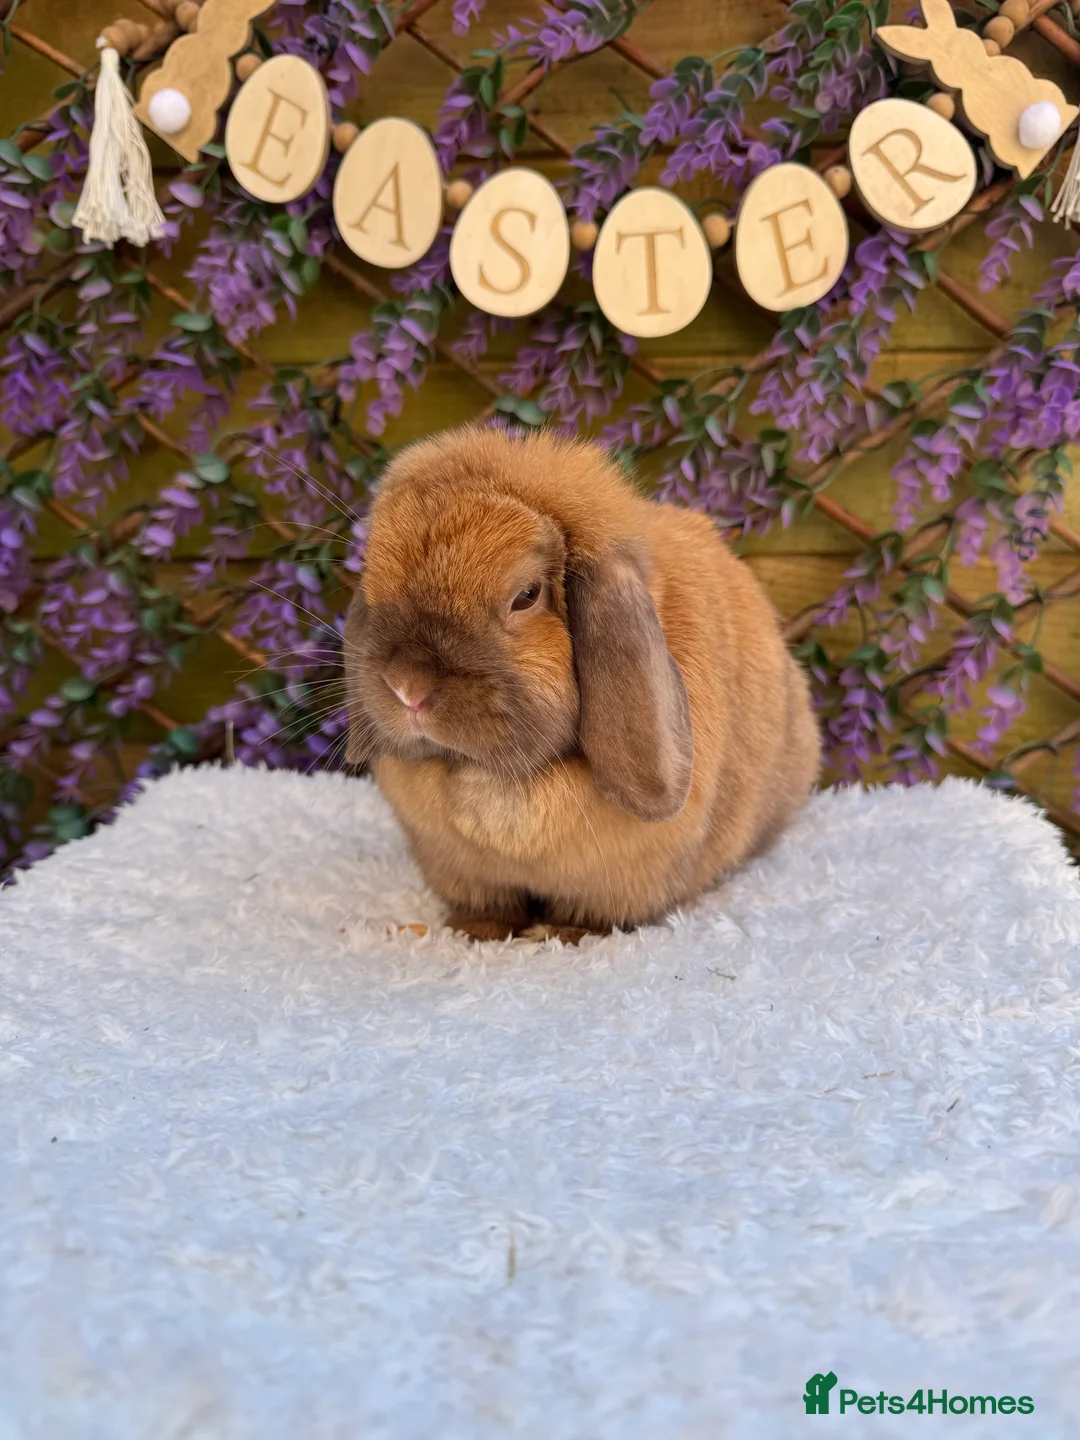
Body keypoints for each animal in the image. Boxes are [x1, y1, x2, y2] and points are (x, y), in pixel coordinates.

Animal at [343, 426, 820, 943]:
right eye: (372, 583)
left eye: (526, 596)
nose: (407, 687)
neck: (492, 776)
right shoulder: (463, 871)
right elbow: (487, 906)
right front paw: (476, 932)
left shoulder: (617, 882)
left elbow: (589, 915)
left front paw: (559, 935)